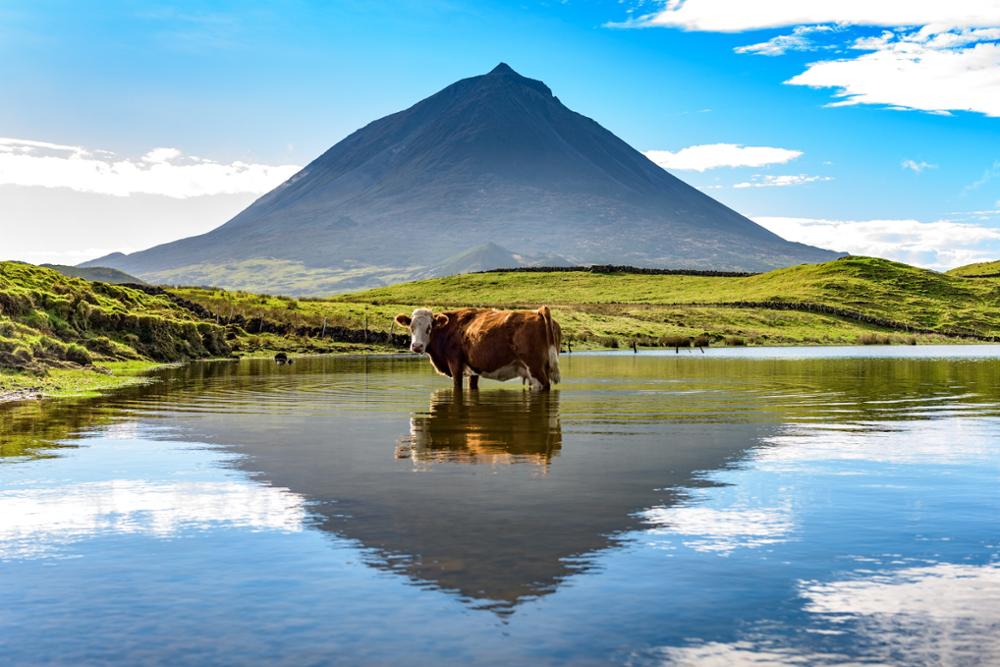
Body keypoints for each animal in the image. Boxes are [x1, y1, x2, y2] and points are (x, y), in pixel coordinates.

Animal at [392, 306, 564, 392]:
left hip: (535, 368)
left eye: (429, 328)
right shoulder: (473, 369)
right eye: (411, 327)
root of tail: (538, 312)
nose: (417, 346)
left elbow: (457, 386)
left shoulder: (455, 364)